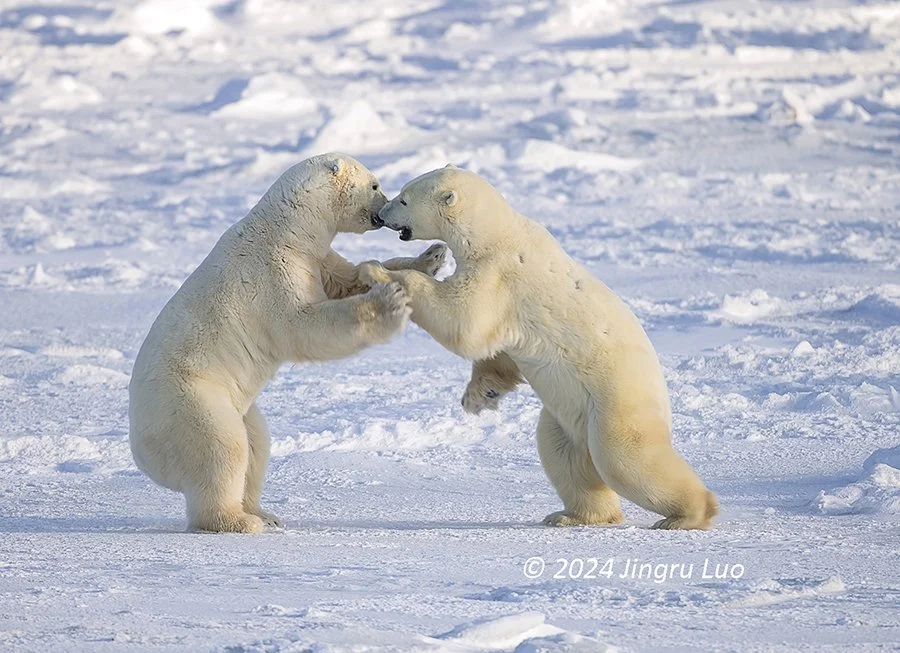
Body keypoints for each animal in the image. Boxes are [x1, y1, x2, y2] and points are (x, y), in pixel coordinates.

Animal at [129, 153, 448, 533]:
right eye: (375, 185)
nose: (383, 210)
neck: (286, 230)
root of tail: (141, 454)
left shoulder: (315, 259)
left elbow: (348, 279)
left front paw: (431, 257)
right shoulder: (273, 272)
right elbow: (304, 326)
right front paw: (390, 302)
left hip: (237, 406)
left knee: (257, 443)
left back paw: (263, 513)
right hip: (191, 403)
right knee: (224, 448)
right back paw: (237, 520)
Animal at [359, 166, 718, 530]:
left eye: (404, 199)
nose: (381, 213)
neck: (497, 233)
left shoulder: (501, 274)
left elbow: (464, 320)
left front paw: (380, 271)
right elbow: (495, 346)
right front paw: (480, 395)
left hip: (616, 402)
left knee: (624, 459)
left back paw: (687, 516)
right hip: (567, 416)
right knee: (560, 452)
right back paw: (573, 515)